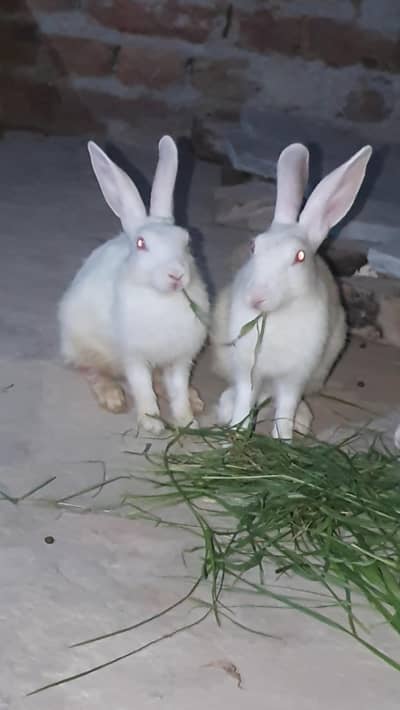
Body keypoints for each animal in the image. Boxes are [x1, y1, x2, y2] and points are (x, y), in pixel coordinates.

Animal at [58, 136, 209, 435]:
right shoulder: (135, 358)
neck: (163, 299)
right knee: (92, 370)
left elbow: (177, 389)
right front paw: (152, 423)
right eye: (141, 244)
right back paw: (112, 397)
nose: (176, 275)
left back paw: (196, 400)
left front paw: (188, 421)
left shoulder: (180, 360)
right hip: (86, 346)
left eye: (186, 241)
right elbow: (142, 388)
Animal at [212, 142, 372, 441]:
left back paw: (302, 420)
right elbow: (245, 401)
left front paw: (284, 440)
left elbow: (284, 408)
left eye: (299, 257)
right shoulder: (248, 371)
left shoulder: (294, 377)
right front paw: (234, 437)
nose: (255, 297)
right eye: (254, 246)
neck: (275, 315)